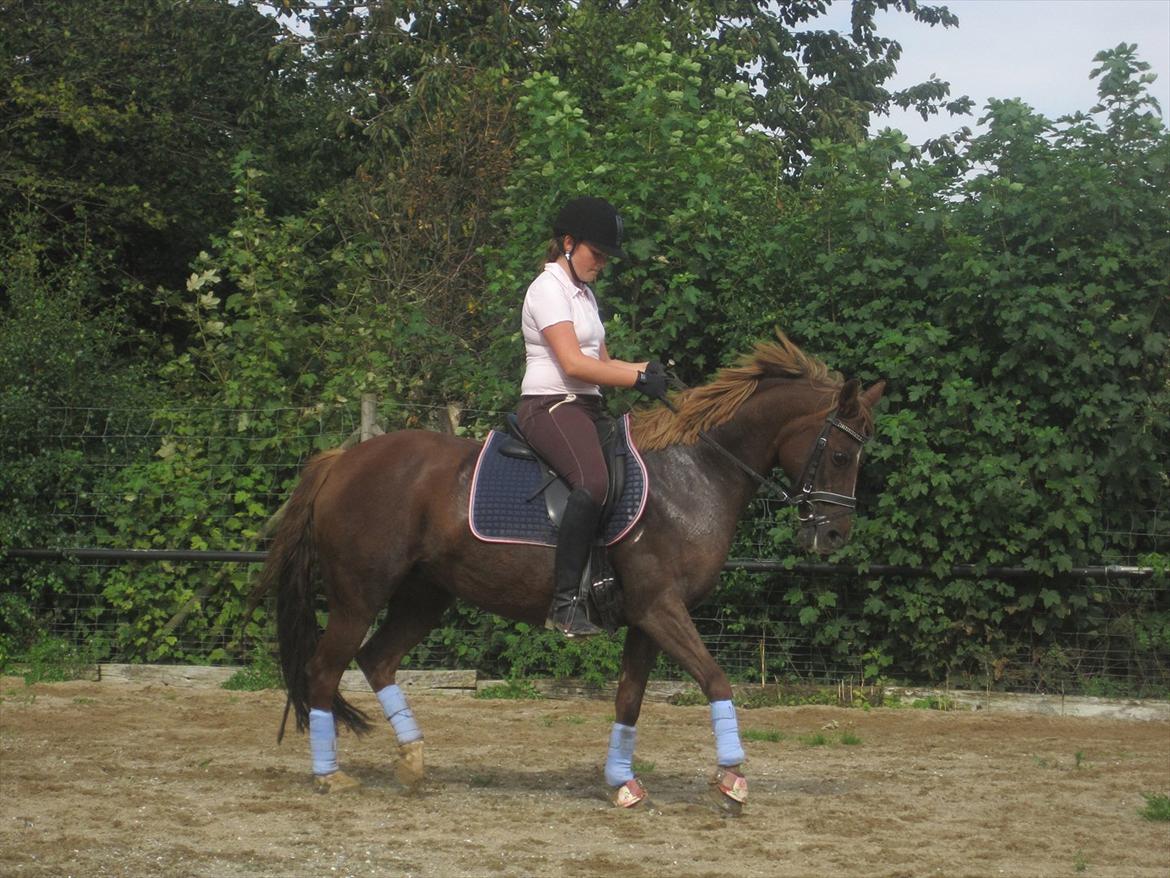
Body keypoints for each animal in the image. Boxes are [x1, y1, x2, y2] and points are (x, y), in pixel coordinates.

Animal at [253, 332, 884, 811]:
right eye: (840, 454)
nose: (833, 536)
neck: (695, 472)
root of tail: (343, 460)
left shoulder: (647, 617)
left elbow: (629, 699)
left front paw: (623, 783)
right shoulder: (661, 607)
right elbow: (716, 679)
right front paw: (732, 778)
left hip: (424, 596)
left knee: (376, 660)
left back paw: (412, 760)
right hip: (359, 596)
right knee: (324, 670)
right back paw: (330, 775)